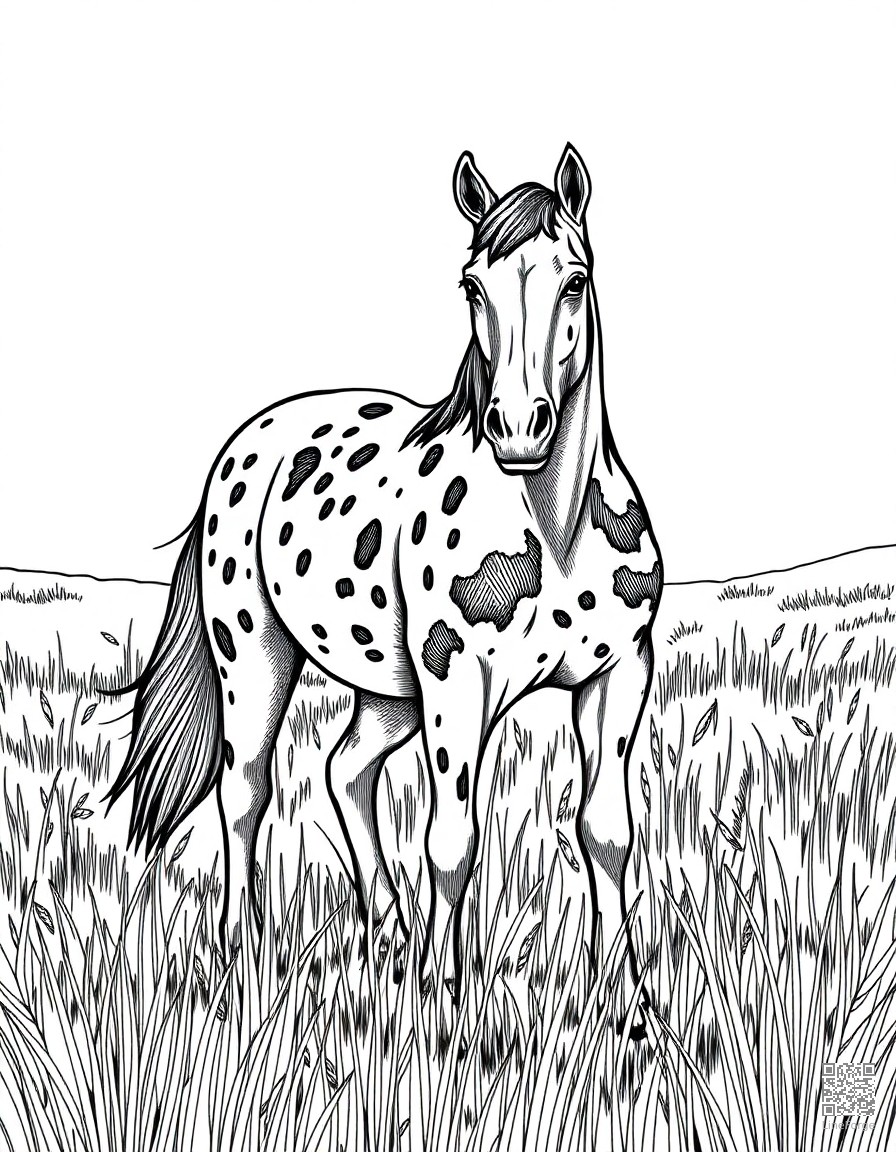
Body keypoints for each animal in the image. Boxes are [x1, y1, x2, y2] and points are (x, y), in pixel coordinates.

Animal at [107, 143, 663, 1003]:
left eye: (574, 279)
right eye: (472, 285)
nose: (518, 427)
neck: (556, 529)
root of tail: (247, 444)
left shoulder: (617, 674)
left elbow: (605, 833)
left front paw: (623, 1003)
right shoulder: (456, 679)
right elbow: (453, 840)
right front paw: (444, 1000)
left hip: (389, 687)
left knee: (346, 771)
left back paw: (390, 938)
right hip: (259, 659)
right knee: (246, 791)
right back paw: (243, 956)